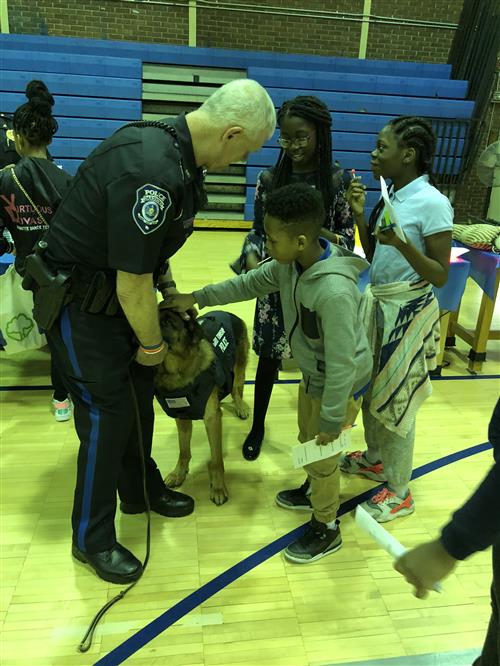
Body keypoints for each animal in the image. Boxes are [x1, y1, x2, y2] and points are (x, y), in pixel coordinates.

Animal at [154, 304, 250, 504]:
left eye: (166, 322)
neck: (175, 370)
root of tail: (229, 313)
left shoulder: (212, 419)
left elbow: (217, 459)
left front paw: (219, 486)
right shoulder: (181, 417)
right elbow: (183, 451)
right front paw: (179, 473)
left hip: (239, 366)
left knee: (236, 388)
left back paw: (240, 406)